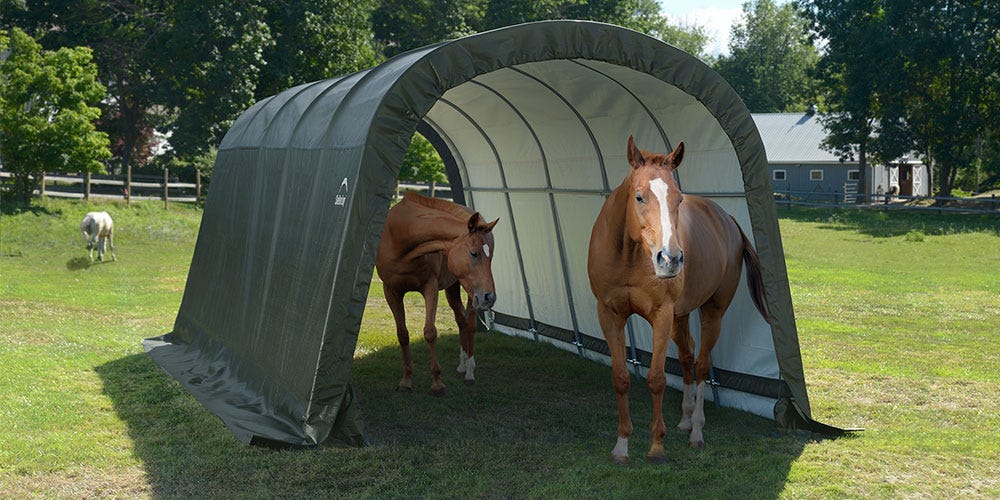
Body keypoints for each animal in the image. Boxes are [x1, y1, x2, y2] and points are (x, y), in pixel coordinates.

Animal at [376, 190, 500, 394]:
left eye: (491, 257)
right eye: (474, 253)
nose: (489, 297)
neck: (400, 237)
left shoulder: (430, 287)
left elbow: (430, 332)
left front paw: (437, 384)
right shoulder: (391, 291)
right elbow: (402, 334)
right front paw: (406, 380)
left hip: (471, 293)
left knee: (470, 325)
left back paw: (469, 371)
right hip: (454, 288)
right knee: (461, 321)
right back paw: (462, 365)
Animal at [588, 137, 768, 464]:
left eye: (678, 200)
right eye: (639, 197)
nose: (670, 259)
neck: (628, 257)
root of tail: (728, 220)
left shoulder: (661, 315)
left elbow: (656, 379)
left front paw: (656, 447)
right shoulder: (609, 314)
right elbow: (620, 378)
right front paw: (621, 445)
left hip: (713, 311)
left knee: (702, 364)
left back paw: (696, 430)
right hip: (680, 316)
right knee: (687, 356)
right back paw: (685, 419)